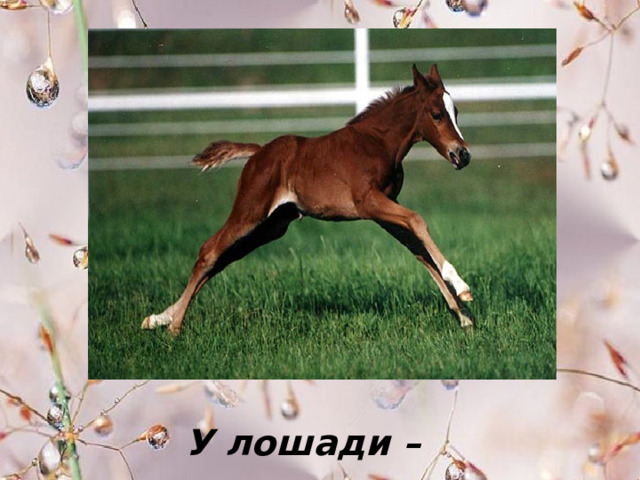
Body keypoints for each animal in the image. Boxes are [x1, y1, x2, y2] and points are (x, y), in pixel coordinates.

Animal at [141, 63, 474, 337]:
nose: (463, 154)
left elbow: (419, 251)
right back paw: (173, 327)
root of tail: (258, 152)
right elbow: (418, 221)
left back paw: (158, 318)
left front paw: (463, 315)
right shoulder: (368, 202)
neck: (378, 143)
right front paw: (463, 288)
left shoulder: (383, 211)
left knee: (223, 259)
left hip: (272, 225)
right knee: (209, 251)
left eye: (456, 113)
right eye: (436, 114)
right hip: (250, 210)